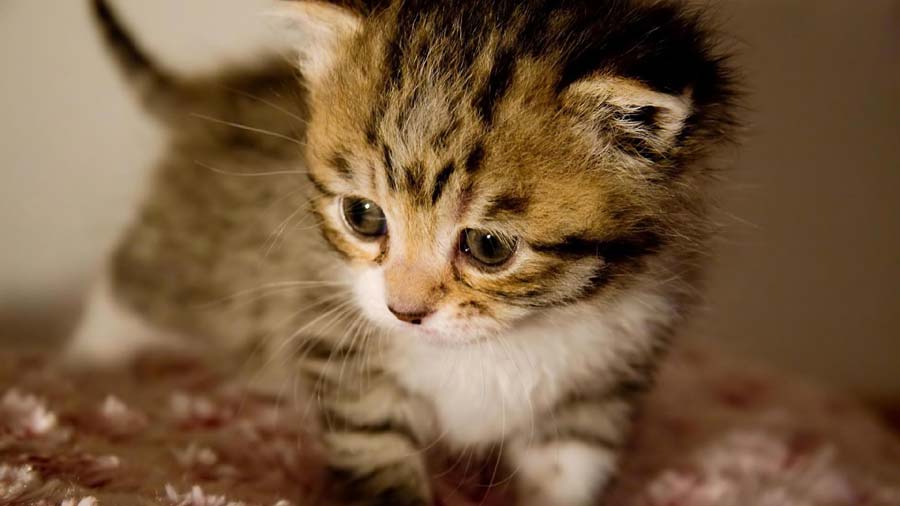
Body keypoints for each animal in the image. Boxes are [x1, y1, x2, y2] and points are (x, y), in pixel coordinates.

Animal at [72, 0, 740, 506]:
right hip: (188, 268)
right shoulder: (328, 325)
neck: (501, 342)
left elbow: (566, 472)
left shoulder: (607, 378)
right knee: (131, 279)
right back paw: (87, 359)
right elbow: (372, 440)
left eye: (488, 247)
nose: (405, 312)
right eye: (364, 217)